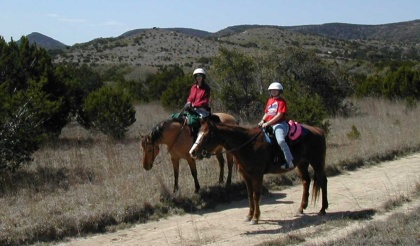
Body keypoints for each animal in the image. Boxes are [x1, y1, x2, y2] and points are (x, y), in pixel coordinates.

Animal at [190, 119, 328, 225]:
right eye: (198, 133)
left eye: (206, 135)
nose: (193, 152)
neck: (248, 144)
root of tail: (318, 130)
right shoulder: (246, 175)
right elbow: (250, 195)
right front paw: (249, 216)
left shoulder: (257, 175)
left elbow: (256, 195)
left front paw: (255, 218)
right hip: (302, 163)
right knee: (306, 181)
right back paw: (301, 208)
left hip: (317, 162)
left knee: (323, 181)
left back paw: (323, 209)